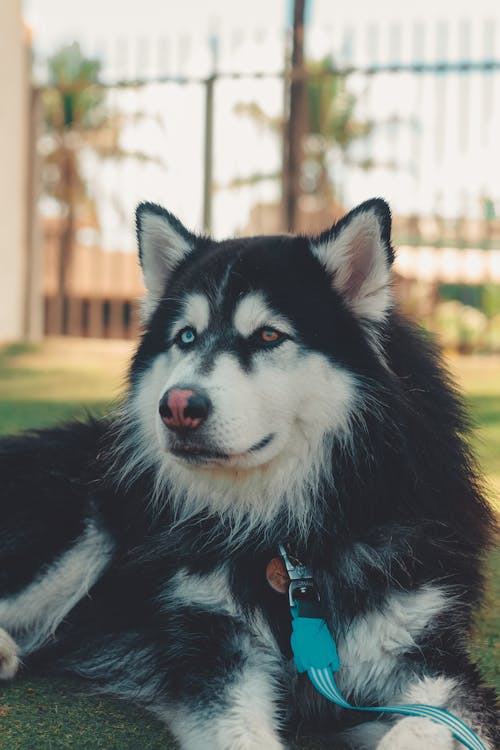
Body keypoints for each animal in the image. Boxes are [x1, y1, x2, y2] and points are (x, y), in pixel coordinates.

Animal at [0, 201, 500, 750]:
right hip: (81, 524)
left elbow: (427, 720)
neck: (292, 530)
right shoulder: (212, 646)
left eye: (268, 335)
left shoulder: (433, 661)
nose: (177, 407)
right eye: (186, 337)